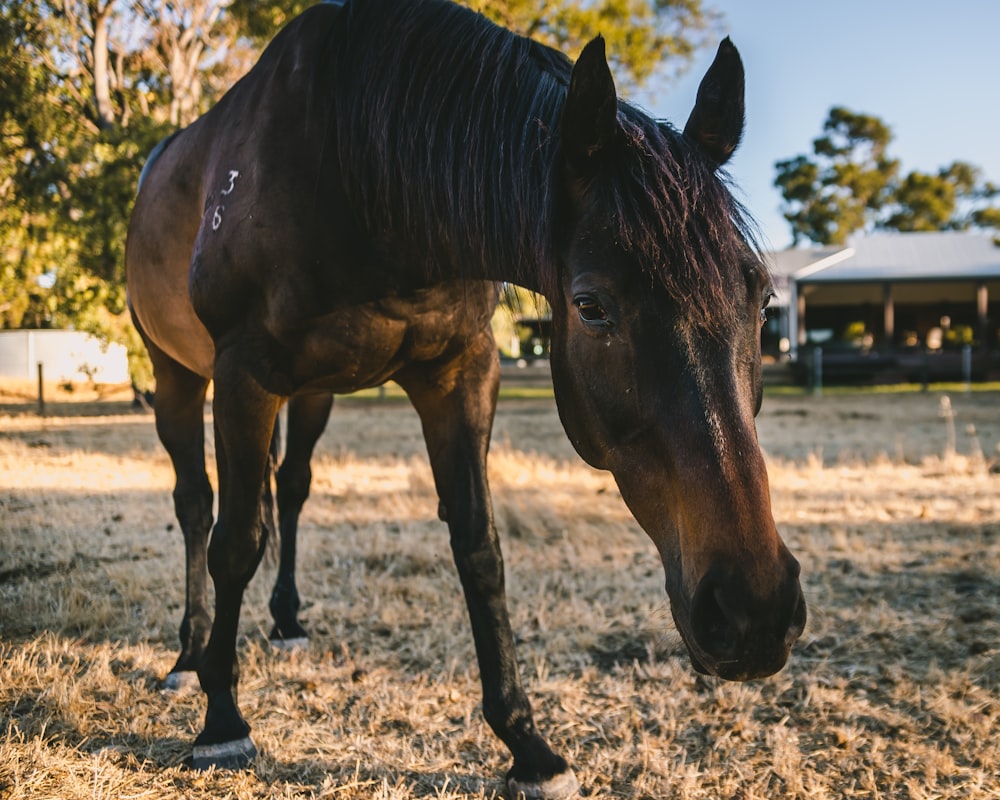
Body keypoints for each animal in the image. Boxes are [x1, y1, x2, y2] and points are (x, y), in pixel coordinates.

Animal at [125, 3, 808, 796]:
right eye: (591, 307)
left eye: (762, 299)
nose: (754, 610)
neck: (358, 171)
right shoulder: (244, 375)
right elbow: (233, 544)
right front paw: (222, 722)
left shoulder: (460, 372)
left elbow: (479, 548)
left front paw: (528, 745)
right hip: (178, 376)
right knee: (198, 505)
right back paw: (189, 656)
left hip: (315, 392)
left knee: (289, 488)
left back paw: (288, 623)